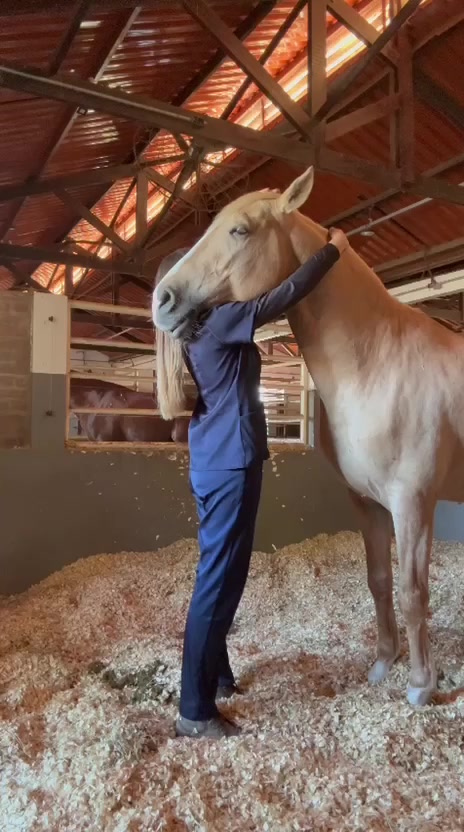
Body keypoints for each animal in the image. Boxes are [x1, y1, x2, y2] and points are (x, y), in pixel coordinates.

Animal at [152, 166, 464, 707]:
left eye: (240, 230)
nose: (163, 301)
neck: (379, 363)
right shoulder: (367, 502)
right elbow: (379, 581)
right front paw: (383, 664)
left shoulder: (413, 503)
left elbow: (412, 592)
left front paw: (421, 685)